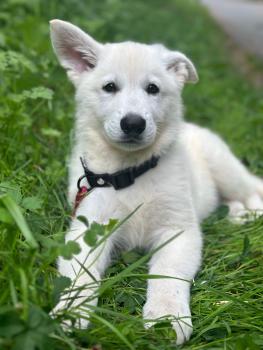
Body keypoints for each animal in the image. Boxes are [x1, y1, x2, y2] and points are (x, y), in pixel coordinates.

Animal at [50, 19, 263, 344]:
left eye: (153, 89)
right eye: (109, 87)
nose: (133, 123)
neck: (130, 172)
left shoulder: (178, 230)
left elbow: (167, 273)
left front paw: (166, 318)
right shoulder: (89, 228)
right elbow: (79, 273)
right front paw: (71, 311)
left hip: (226, 169)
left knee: (253, 188)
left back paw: (251, 211)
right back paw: (239, 215)